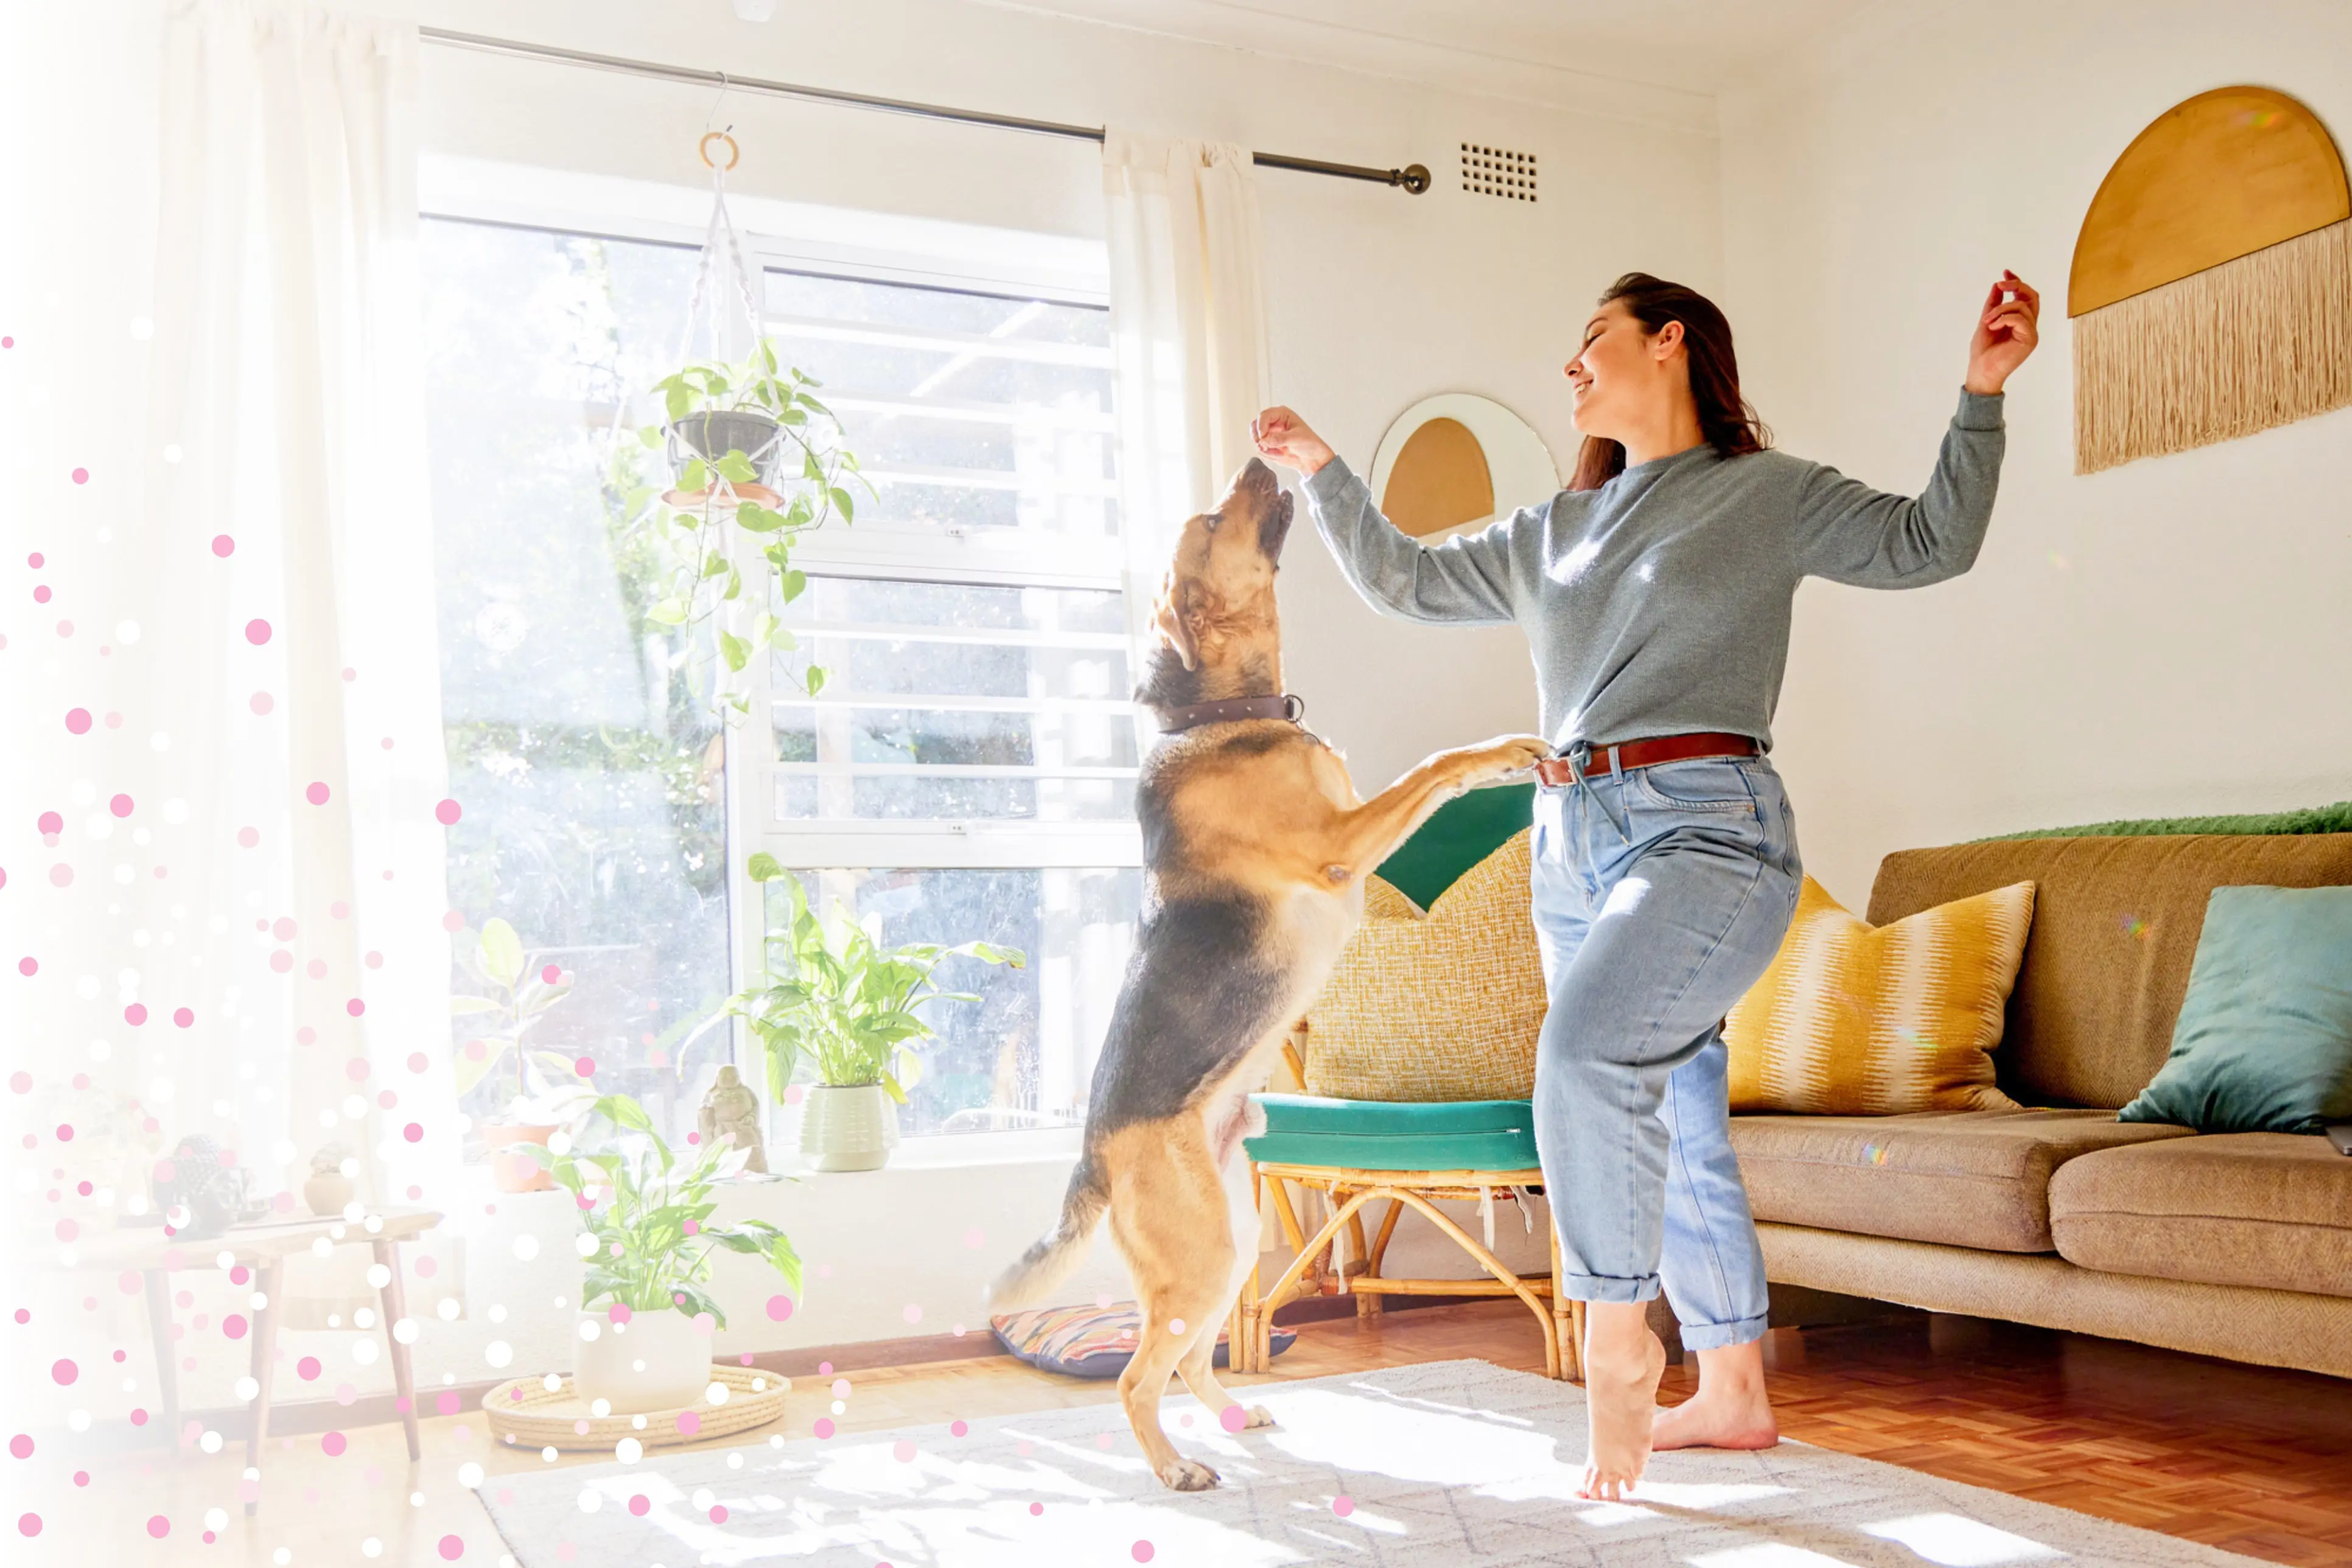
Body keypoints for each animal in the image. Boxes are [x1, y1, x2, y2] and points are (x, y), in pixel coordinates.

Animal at [983, 456, 1552, 1495]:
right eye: (1213, 522)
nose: (1260, 455)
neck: (1217, 716)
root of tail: (1094, 1153)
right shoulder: (1343, 844)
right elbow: (1438, 764)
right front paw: (1503, 753)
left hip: (1233, 1238)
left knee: (1190, 1359)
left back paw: (1235, 1419)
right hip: (1204, 1255)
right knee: (1137, 1376)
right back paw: (1176, 1470)